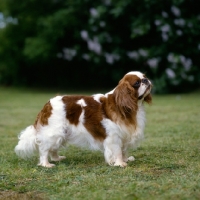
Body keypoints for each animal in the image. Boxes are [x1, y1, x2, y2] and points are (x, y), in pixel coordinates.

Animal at [14, 71, 152, 168]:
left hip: (61, 133)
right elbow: (117, 151)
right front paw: (120, 163)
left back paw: (57, 158)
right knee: (44, 149)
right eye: (137, 83)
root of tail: (47, 104)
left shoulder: (124, 134)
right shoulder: (114, 136)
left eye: (144, 77)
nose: (146, 80)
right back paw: (46, 164)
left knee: (53, 148)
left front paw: (125, 159)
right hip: (54, 132)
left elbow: (123, 150)